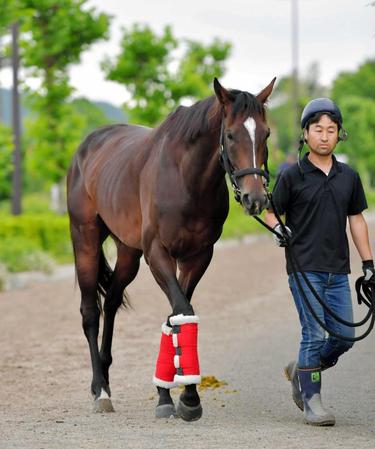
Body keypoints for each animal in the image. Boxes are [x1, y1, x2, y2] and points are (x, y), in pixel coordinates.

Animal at [67, 78, 276, 420]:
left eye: (266, 133)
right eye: (231, 134)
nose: (255, 198)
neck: (185, 178)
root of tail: (87, 147)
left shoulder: (197, 257)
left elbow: (177, 316)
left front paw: (174, 395)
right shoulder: (157, 253)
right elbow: (182, 311)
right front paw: (184, 397)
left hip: (128, 252)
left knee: (111, 302)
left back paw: (107, 376)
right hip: (85, 239)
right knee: (90, 312)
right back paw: (100, 390)